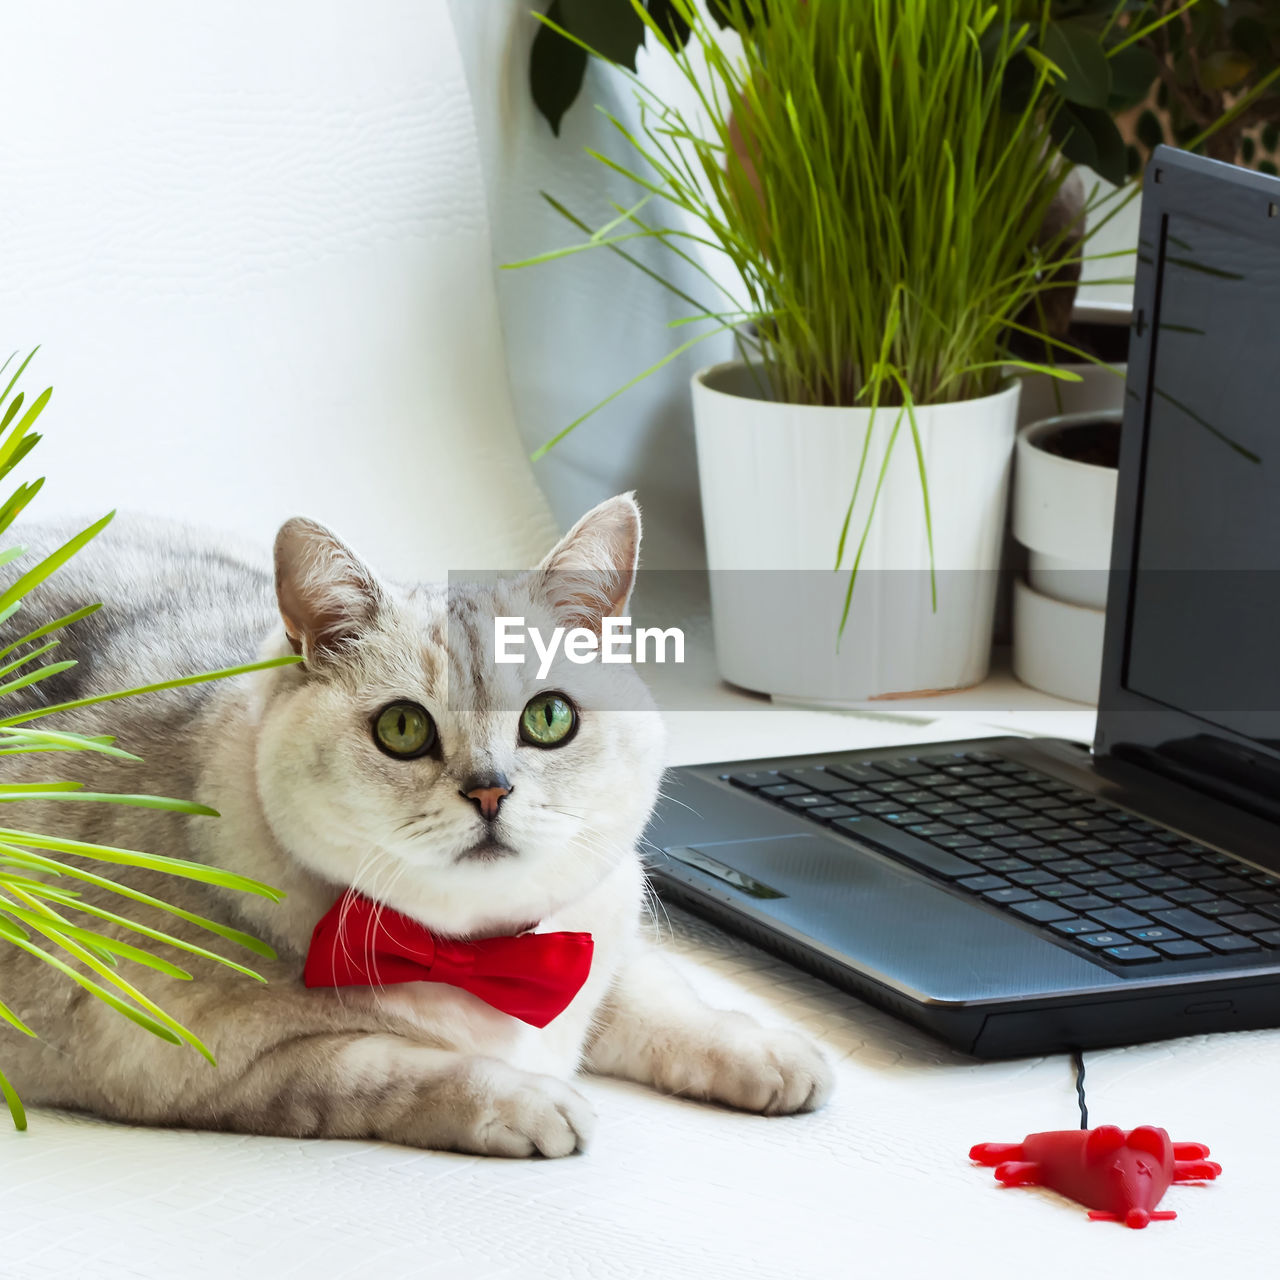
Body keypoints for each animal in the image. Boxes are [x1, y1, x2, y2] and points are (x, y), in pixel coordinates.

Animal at [0, 494, 834, 1157]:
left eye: (550, 717)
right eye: (402, 729)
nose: (491, 791)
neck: (477, 955)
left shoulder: (602, 936)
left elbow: (663, 1001)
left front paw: (766, 1053)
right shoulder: (217, 1065)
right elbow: (395, 1068)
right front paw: (529, 1103)